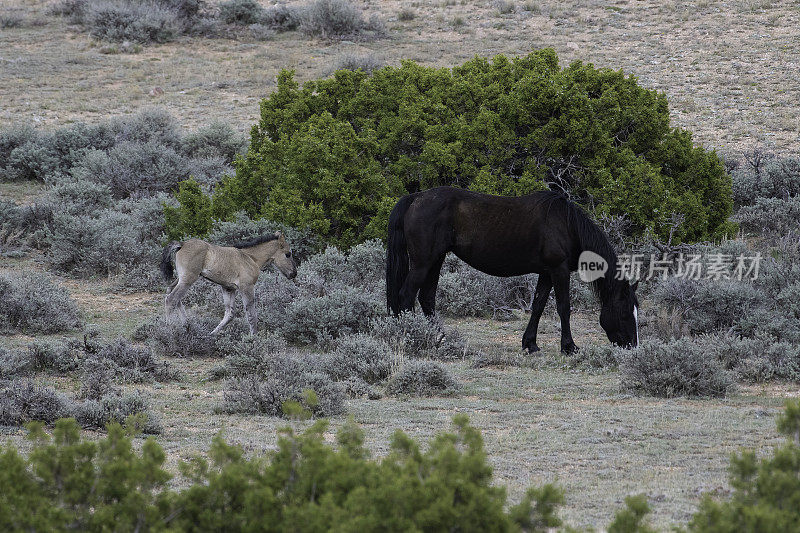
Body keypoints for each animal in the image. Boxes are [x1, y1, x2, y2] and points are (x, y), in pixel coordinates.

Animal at [160, 232, 296, 332]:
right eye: (288, 254)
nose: (294, 273)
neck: (250, 258)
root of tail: (182, 244)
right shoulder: (246, 287)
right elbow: (252, 316)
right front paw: (254, 339)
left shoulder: (228, 288)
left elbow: (229, 314)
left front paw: (212, 335)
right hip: (188, 279)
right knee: (171, 299)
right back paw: (169, 330)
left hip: (181, 278)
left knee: (171, 293)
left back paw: (187, 326)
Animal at [384, 185, 640, 352]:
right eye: (625, 312)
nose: (632, 347)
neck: (567, 225)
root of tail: (416, 197)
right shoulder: (559, 270)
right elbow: (563, 308)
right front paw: (569, 347)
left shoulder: (546, 273)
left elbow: (538, 306)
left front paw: (530, 344)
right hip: (423, 263)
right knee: (406, 296)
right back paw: (409, 336)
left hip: (435, 261)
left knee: (427, 298)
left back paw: (440, 339)